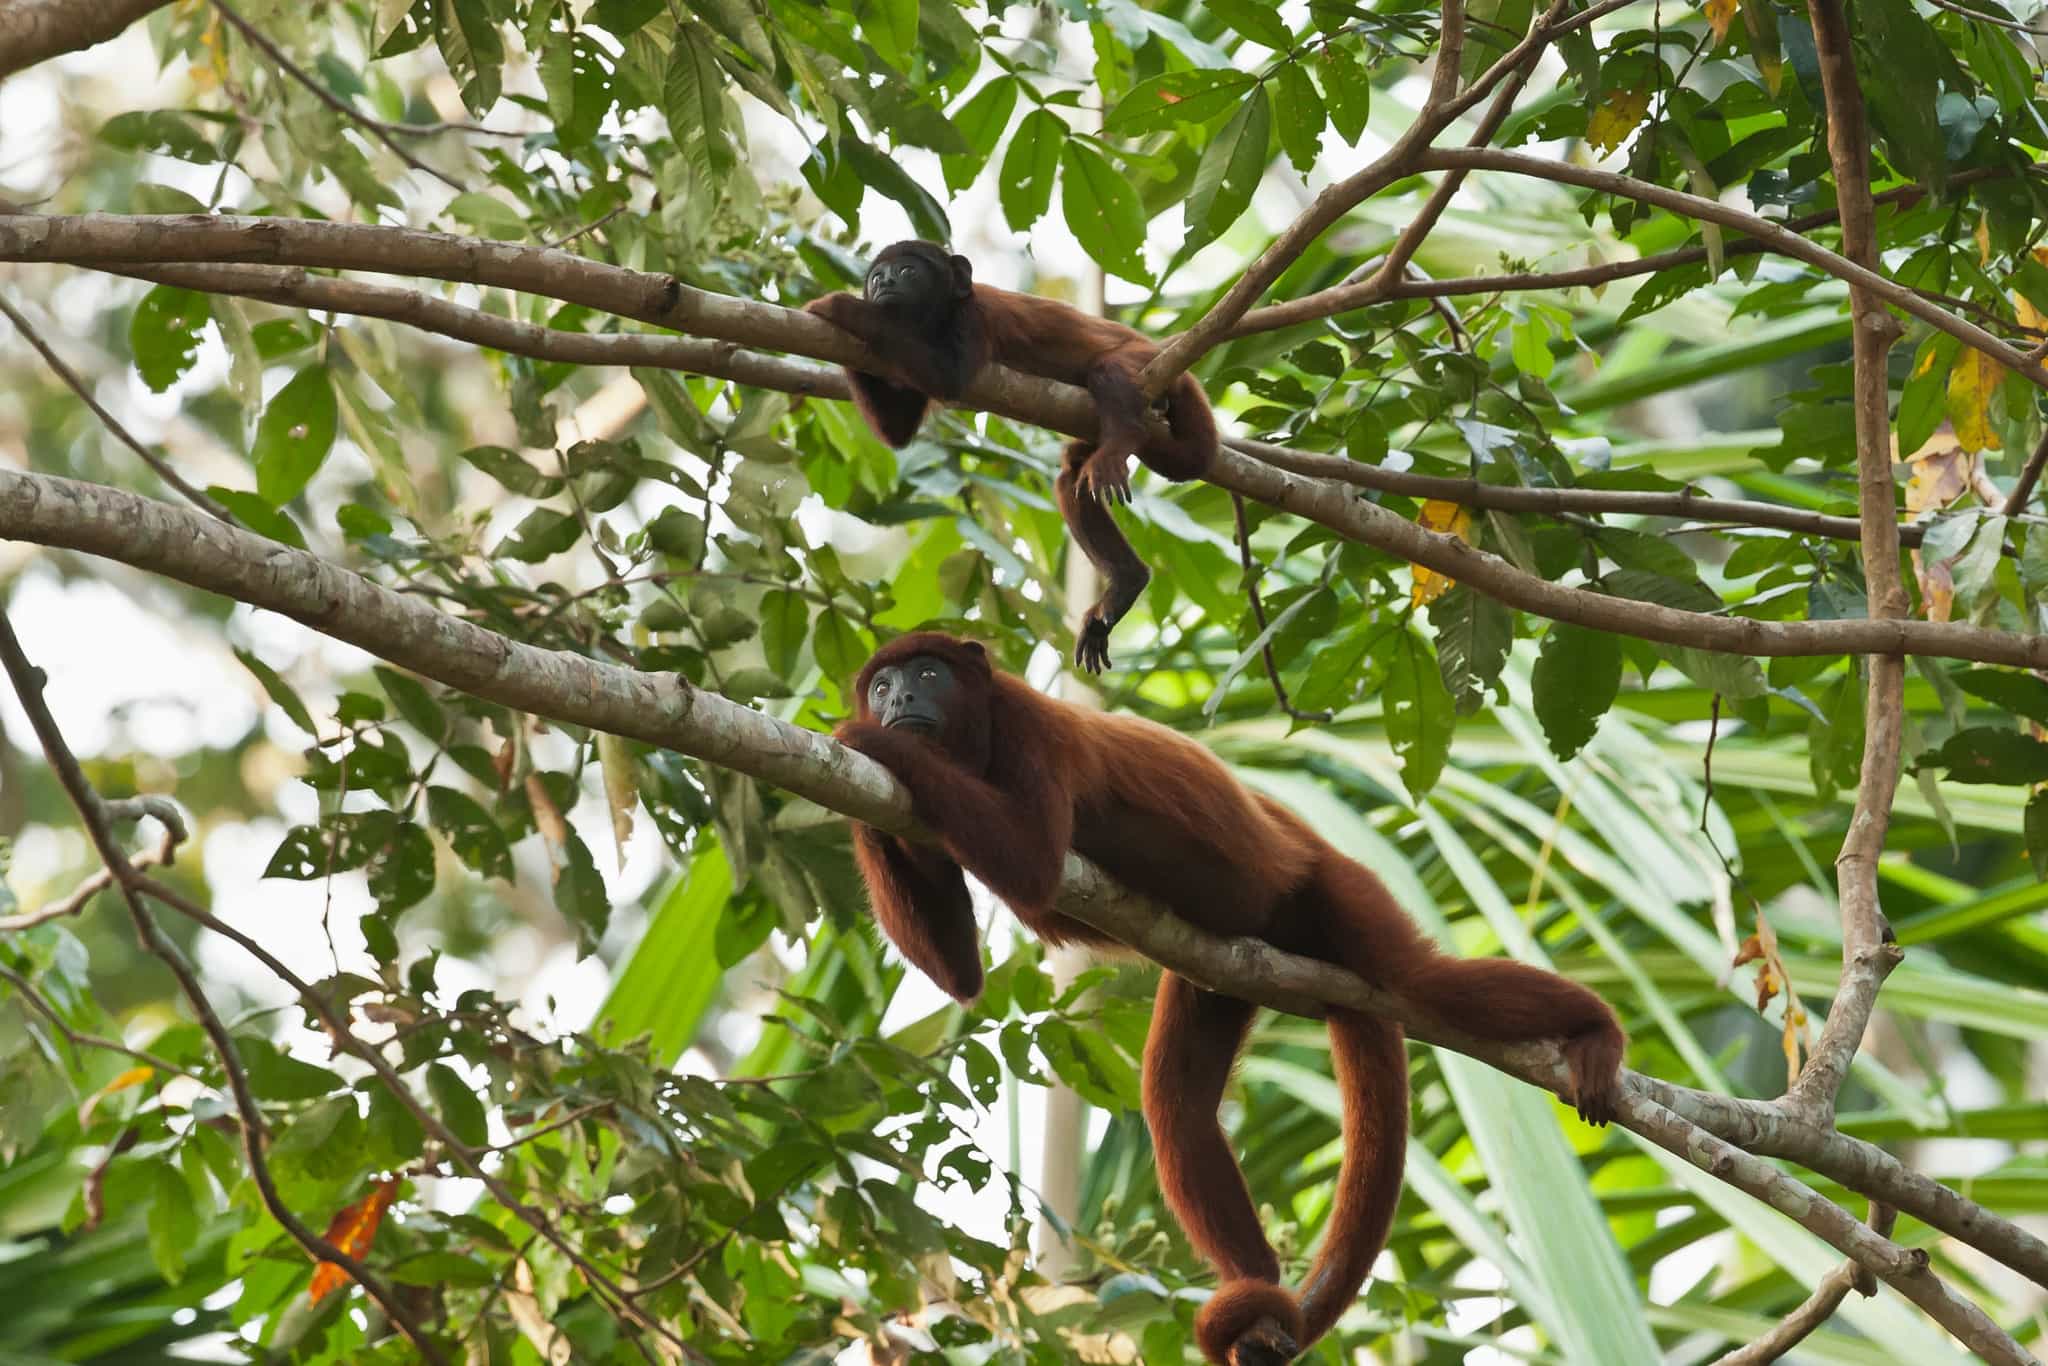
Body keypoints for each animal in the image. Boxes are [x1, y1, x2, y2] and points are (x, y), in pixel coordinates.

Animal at [803, 241, 1219, 674]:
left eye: (906, 271)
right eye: (876, 276)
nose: (882, 283)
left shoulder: (975, 317)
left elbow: (949, 376)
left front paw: (838, 307)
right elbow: (897, 431)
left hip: (1142, 361)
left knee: (1108, 370)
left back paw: (1120, 442)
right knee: (1072, 479)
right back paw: (1126, 581)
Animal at [833, 632, 1627, 1366]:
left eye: (926, 673)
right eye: (882, 685)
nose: (896, 702)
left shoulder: (1032, 730)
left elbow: (1031, 862)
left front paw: (862, 741)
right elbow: (960, 974)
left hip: (1341, 890)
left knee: (1422, 981)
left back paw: (1596, 1032)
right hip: (1217, 974)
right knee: (1178, 1107)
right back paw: (1262, 1305)